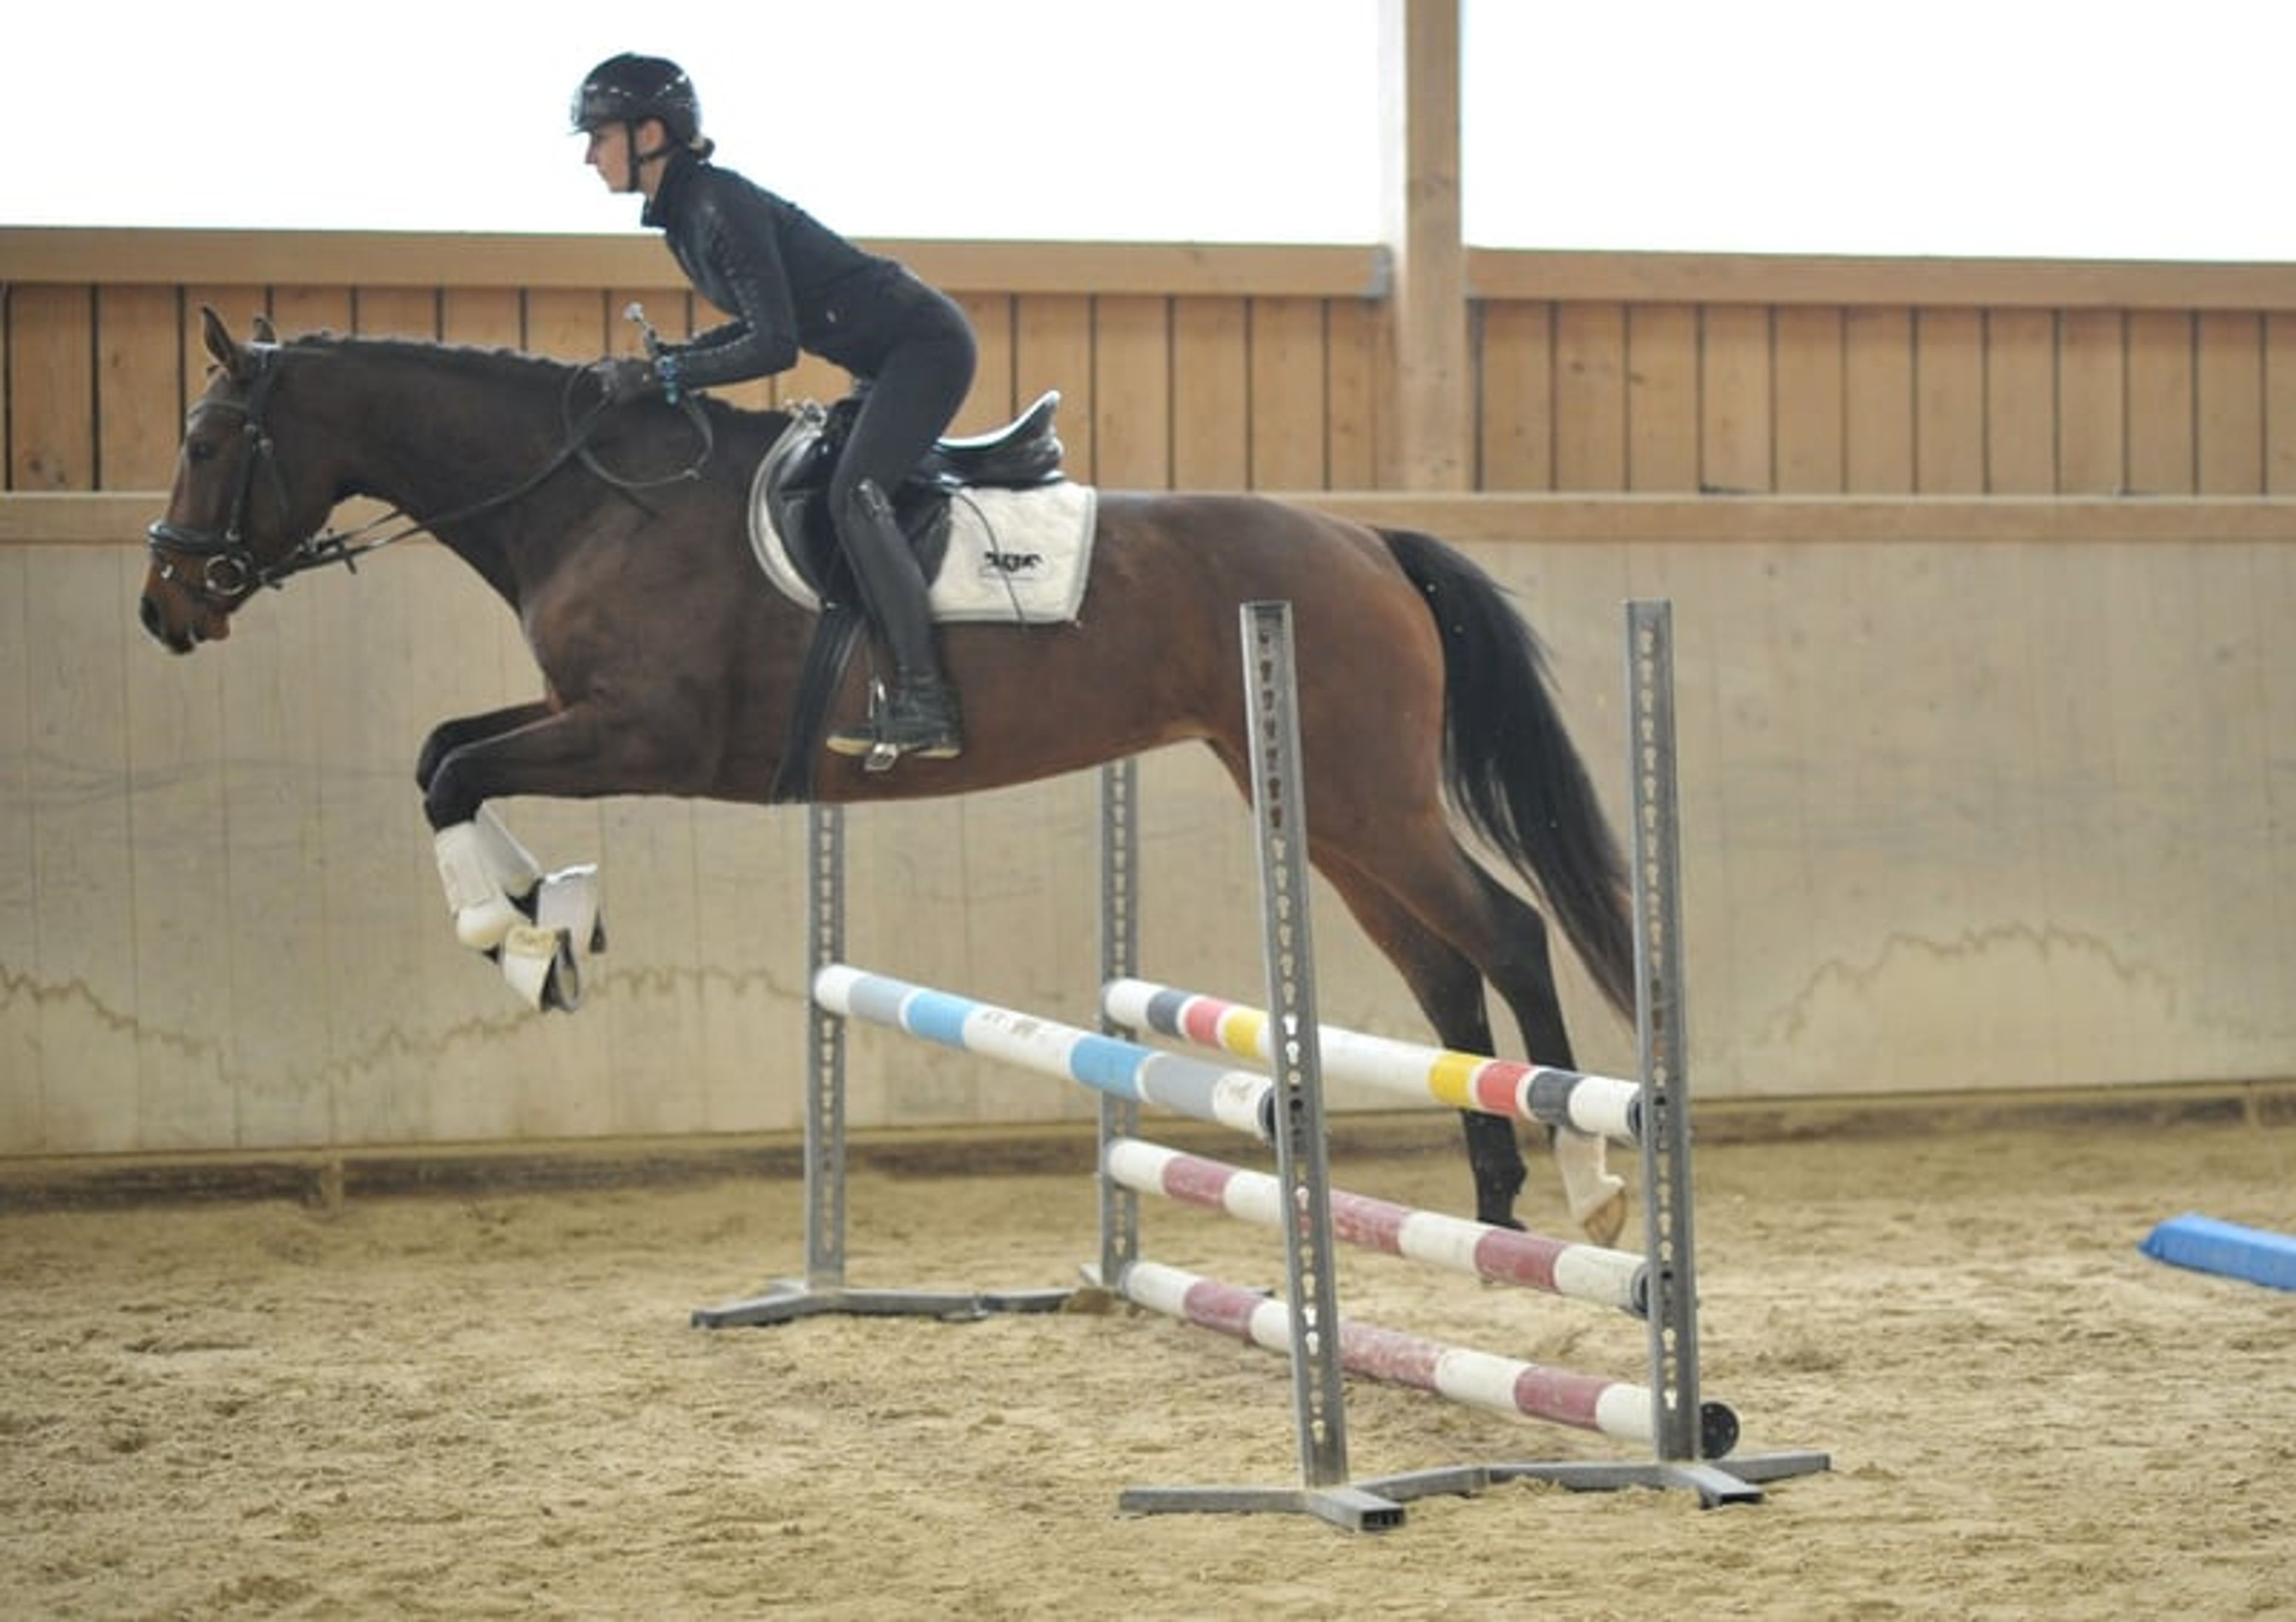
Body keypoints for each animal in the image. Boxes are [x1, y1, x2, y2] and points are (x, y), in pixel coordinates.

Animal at [139, 307, 1637, 1245]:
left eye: (208, 443)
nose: (165, 608)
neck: (589, 495)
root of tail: (1373, 544)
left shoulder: (644, 737)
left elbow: (451, 774)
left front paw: (519, 940)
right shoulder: (579, 716)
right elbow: (440, 753)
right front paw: (544, 922)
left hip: (1367, 789)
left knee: (1507, 931)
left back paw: (1584, 1185)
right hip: (1317, 800)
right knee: (1438, 966)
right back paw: (1487, 1204)